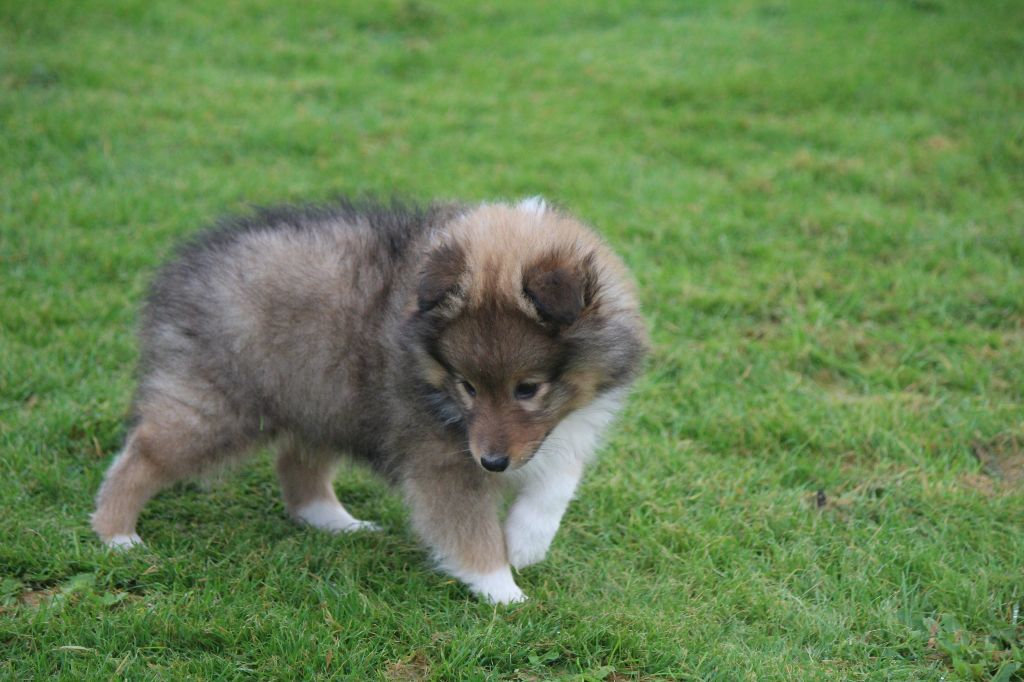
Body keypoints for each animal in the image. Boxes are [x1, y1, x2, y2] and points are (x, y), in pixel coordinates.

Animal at [92, 197, 647, 603]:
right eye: (466, 386)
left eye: (527, 388)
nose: (492, 463)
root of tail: (187, 264)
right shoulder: (441, 458)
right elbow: (469, 530)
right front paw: (506, 593)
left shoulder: (564, 429)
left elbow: (557, 480)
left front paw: (528, 543)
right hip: (219, 405)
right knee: (143, 453)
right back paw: (115, 535)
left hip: (324, 397)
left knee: (298, 467)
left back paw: (340, 524)